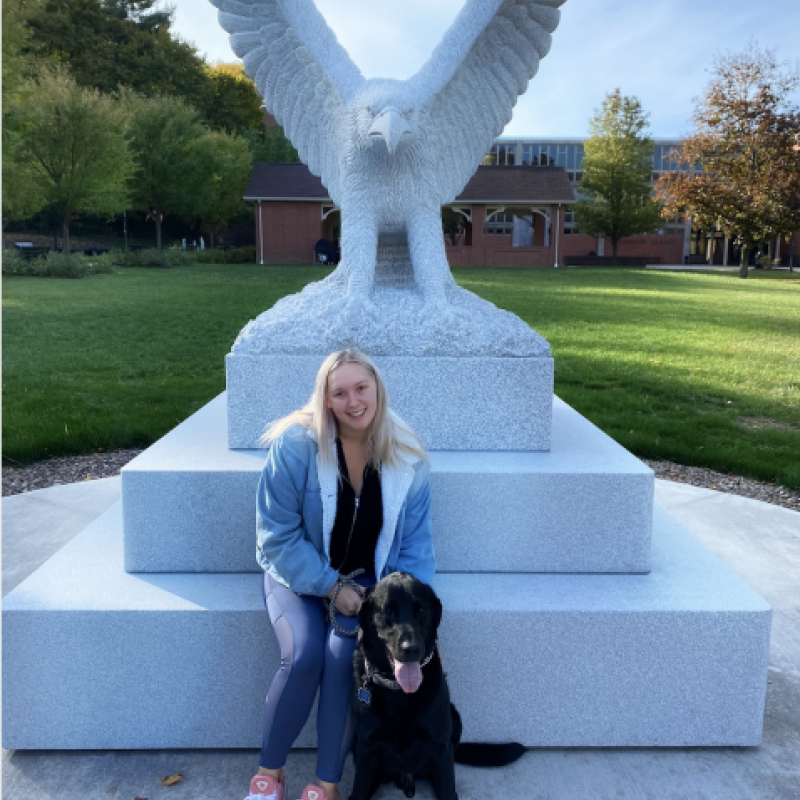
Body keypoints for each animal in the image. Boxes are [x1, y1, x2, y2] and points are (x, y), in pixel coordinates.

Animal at [350, 572, 524, 796]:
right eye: (387, 610)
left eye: (421, 610)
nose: (411, 649)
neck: (399, 692)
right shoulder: (366, 747)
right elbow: (358, 790)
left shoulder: (441, 748)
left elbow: (448, 789)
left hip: (454, 718)